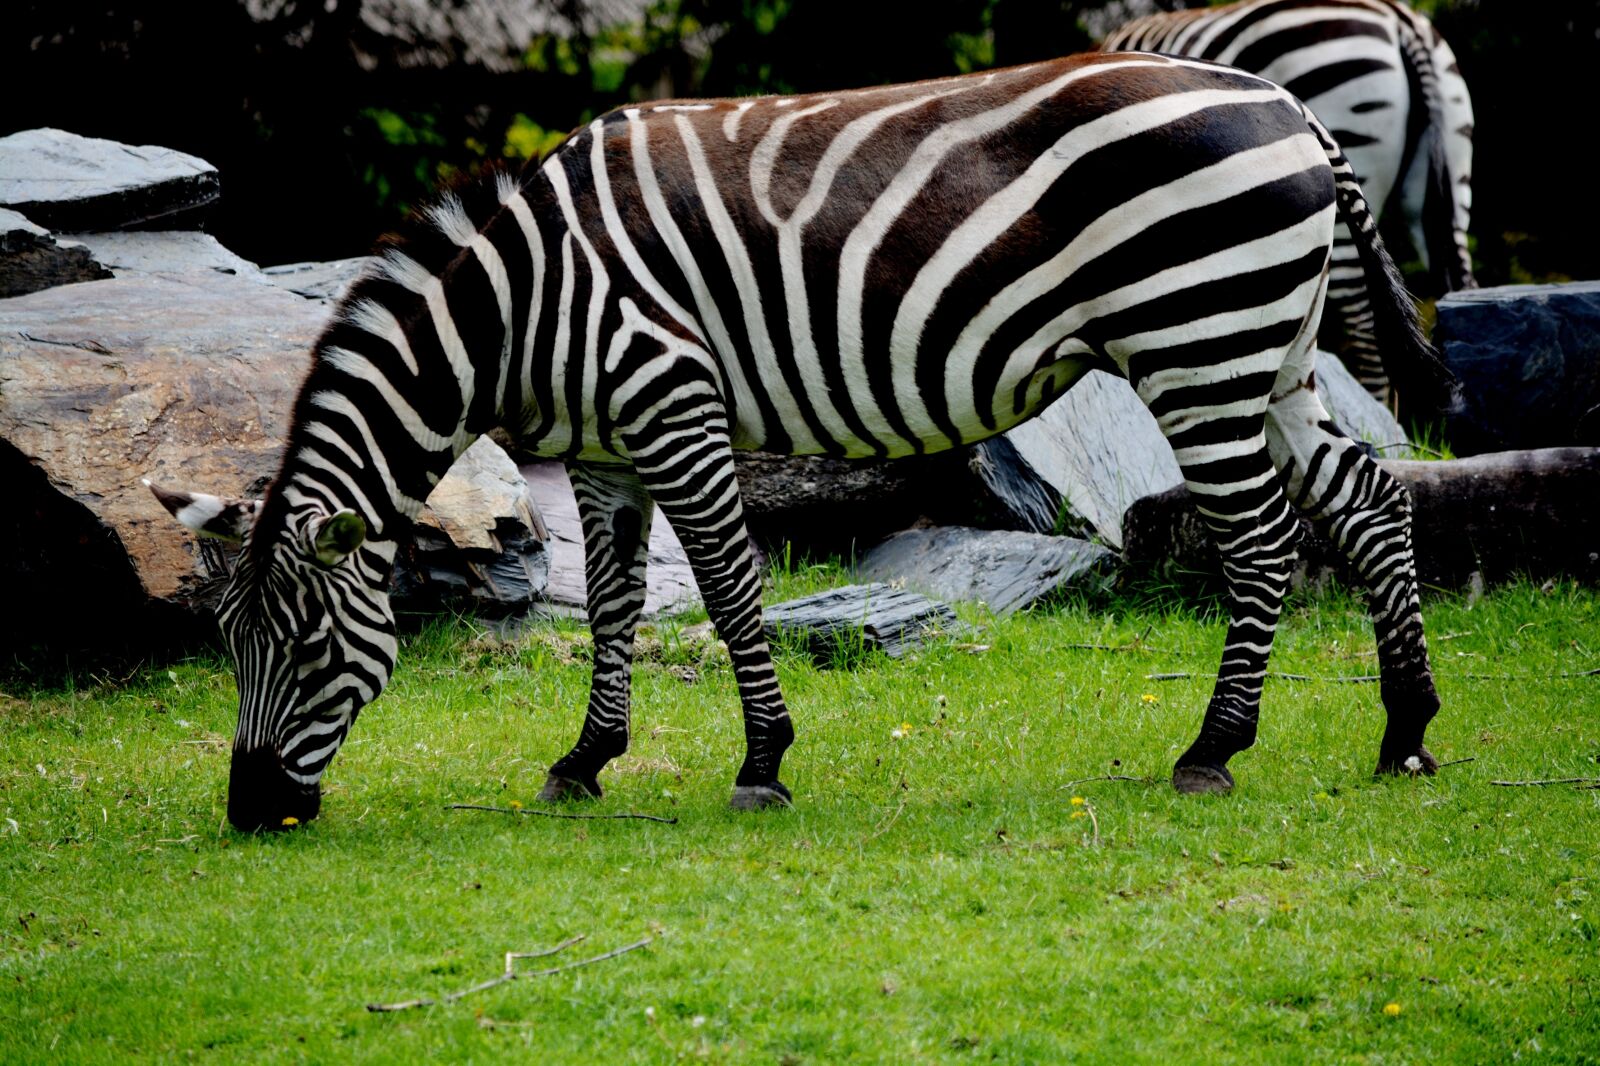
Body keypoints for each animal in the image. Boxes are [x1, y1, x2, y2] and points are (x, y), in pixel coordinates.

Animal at [150, 51, 1457, 831]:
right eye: (226, 649)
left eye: (311, 651)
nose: (250, 809)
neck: (522, 304)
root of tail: (1290, 109)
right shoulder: (605, 452)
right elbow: (613, 606)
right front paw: (585, 759)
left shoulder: (672, 404)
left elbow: (730, 590)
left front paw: (763, 761)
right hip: (1269, 352)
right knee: (1370, 503)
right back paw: (1404, 730)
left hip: (1201, 348)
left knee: (1262, 543)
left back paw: (1214, 744)